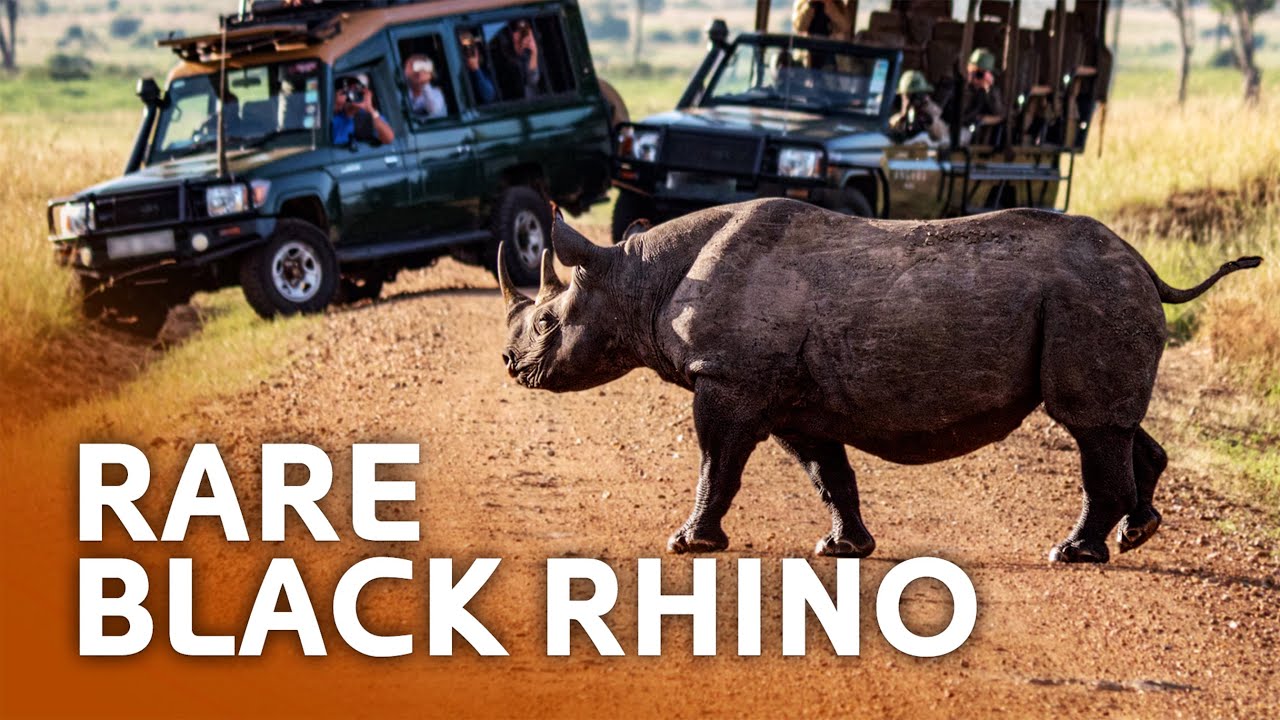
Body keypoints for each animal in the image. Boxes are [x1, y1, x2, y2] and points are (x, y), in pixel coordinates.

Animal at [497, 198, 1261, 563]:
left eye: (547, 323)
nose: (509, 365)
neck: (637, 277)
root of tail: (1145, 265)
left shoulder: (732, 381)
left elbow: (717, 464)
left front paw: (688, 543)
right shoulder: (788, 400)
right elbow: (828, 474)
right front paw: (845, 549)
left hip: (1091, 294)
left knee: (1089, 426)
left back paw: (1074, 554)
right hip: (1101, 294)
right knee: (1116, 425)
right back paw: (1139, 534)